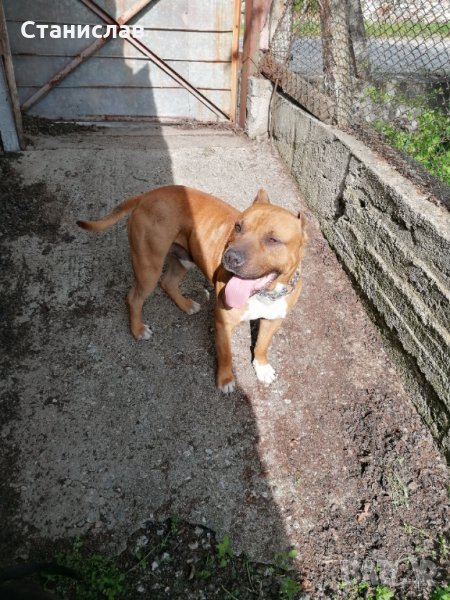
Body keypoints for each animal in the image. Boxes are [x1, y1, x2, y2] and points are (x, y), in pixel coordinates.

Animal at [77, 186, 307, 392]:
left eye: (273, 240)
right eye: (238, 227)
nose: (230, 257)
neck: (267, 294)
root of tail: (147, 195)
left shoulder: (274, 319)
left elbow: (262, 345)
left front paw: (262, 367)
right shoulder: (223, 322)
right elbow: (226, 354)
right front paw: (225, 380)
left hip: (183, 259)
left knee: (168, 282)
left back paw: (186, 305)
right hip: (148, 266)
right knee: (134, 297)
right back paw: (138, 330)